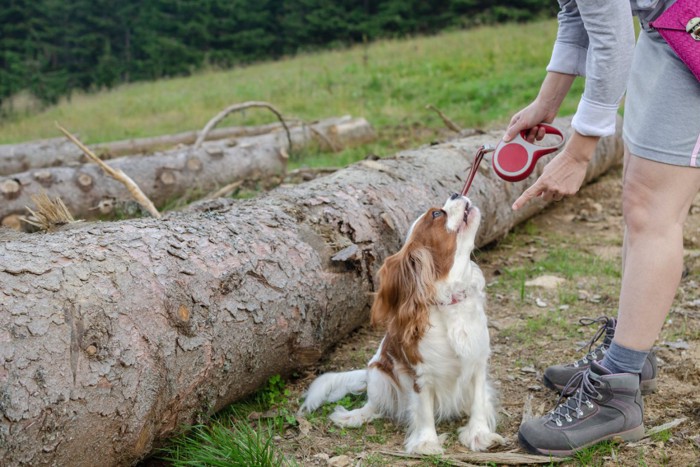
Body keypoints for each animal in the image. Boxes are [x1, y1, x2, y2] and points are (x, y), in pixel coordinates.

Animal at [298, 193, 506, 454]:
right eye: (437, 214)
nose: (456, 194)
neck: (450, 300)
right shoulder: (420, 373)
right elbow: (424, 410)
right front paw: (427, 443)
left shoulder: (477, 361)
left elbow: (478, 400)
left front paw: (479, 434)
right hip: (378, 374)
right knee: (374, 404)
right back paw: (354, 416)